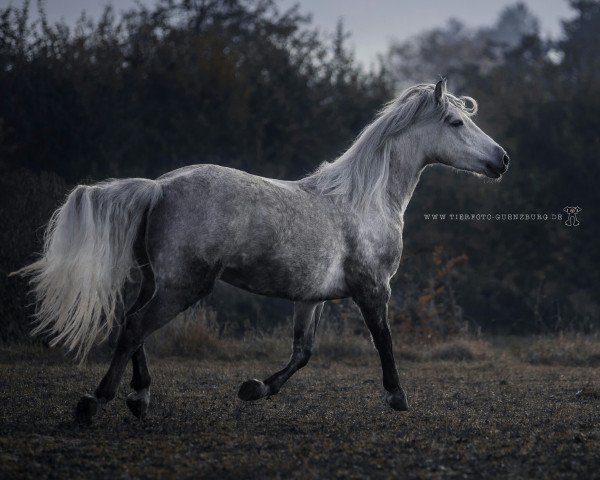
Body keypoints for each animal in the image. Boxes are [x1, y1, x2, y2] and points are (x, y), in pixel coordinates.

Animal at [16, 79, 508, 424]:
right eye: (456, 123)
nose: (501, 160)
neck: (365, 200)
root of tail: (158, 187)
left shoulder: (311, 299)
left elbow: (302, 352)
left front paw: (254, 389)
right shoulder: (373, 289)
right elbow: (383, 340)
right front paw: (397, 396)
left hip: (159, 280)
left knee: (132, 324)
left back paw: (139, 399)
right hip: (183, 286)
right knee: (136, 326)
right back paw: (94, 403)